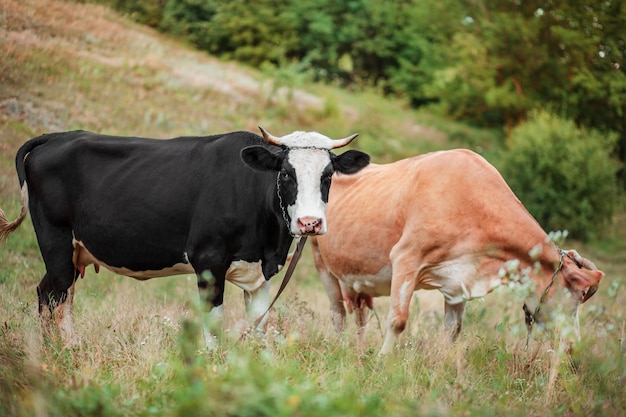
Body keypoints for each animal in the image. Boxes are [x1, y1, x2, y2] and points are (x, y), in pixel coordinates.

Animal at [0, 126, 370, 344]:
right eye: (286, 173)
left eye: (328, 175)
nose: (310, 223)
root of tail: (59, 135)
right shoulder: (208, 261)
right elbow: (213, 326)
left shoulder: (261, 275)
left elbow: (258, 326)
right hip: (55, 241)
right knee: (54, 294)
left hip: (75, 251)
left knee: (56, 294)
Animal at [312, 148, 604, 352]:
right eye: (574, 300)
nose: (574, 346)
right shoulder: (406, 258)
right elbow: (397, 320)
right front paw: (384, 362)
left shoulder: (459, 278)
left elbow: (453, 329)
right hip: (320, 260)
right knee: (338, 313)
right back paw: (343, 349)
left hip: (355, 276)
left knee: (359, 313)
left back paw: (359, 351)